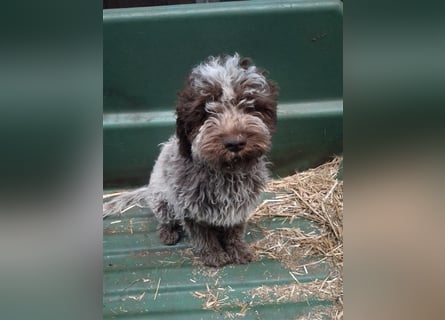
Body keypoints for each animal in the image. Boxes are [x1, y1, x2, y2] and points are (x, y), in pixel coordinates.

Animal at [104, 53, 278, 266]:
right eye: (205, 111)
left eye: (250, 104)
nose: (235, 143)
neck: (225, 171)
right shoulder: (189, 209)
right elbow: (203, 235)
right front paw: (213, 254)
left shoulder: (239, 208)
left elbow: (234, 231)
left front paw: (237, 249)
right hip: (161, 200)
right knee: (165, 219)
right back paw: (167, 232)